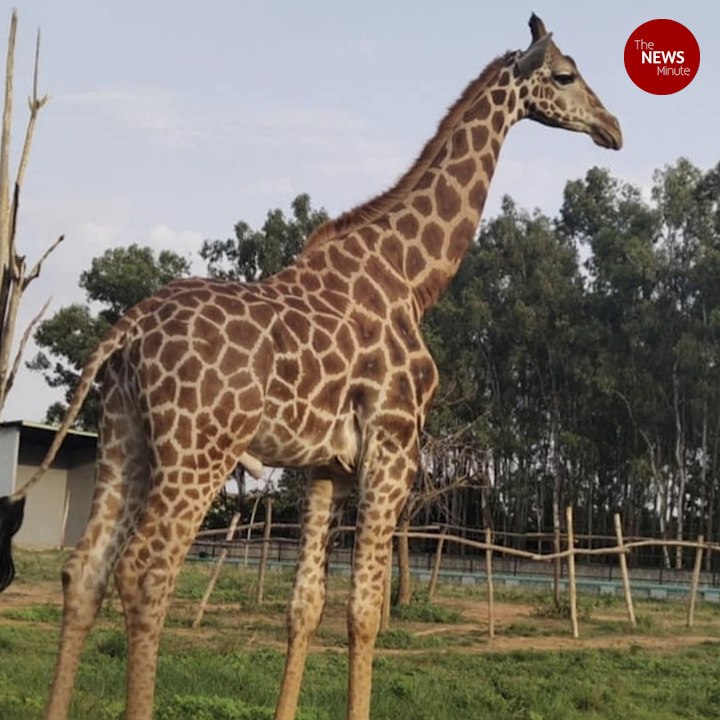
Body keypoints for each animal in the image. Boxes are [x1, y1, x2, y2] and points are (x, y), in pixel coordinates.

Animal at [0, 13, 621, 720]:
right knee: (147, 573)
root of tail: (127, 332)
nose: (613, 129)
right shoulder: (393, 449)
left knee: (85, 569)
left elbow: (305, 607)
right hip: (198, 451)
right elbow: (363, 614)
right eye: (566, 75)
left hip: (123, 435)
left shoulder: (324, 468)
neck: (415, 281)